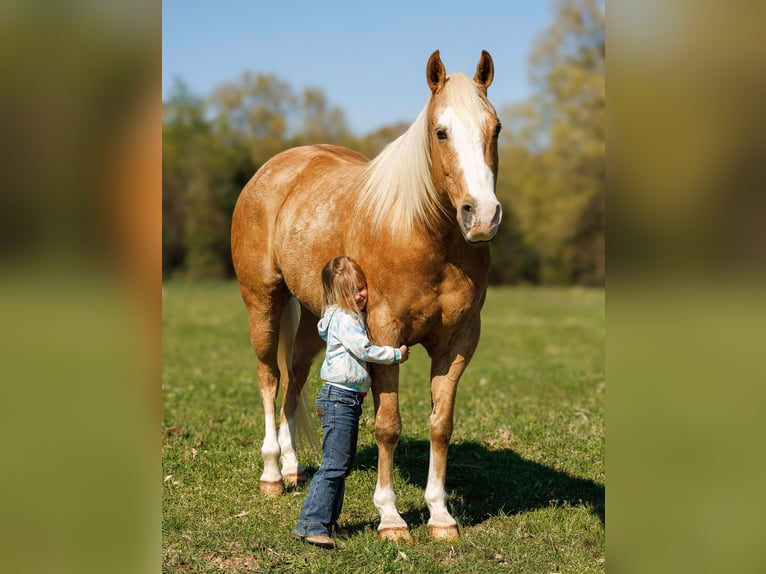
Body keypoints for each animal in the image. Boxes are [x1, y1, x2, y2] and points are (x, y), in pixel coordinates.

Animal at [231, 50, 502, 542]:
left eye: (496, 128)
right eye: (441, 132)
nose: (483, 216)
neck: (421, 231)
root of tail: (275, 170)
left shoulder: (457, 343)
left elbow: (440, 426)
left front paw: (440, 516)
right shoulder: (384, 334)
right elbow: (388, 426)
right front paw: (391, 518)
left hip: (315, 319)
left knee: (294, 381)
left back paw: (294, 469)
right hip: (262, 302)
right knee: (269, 378)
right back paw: (272, 474)